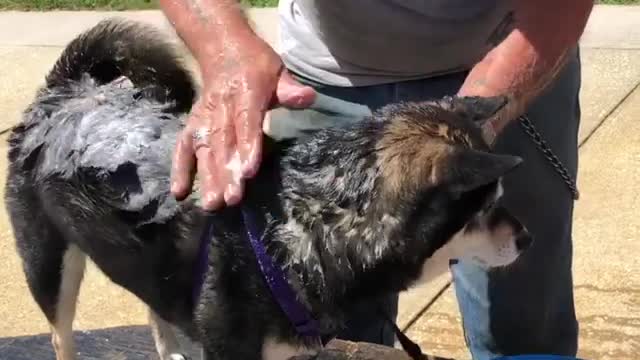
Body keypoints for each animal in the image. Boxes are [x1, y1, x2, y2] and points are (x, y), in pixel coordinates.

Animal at [3, 18, 528, 360]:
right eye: (487, 205)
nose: (527, 238)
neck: (302, 227)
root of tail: (66, 90)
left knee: (156, 310)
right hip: (49, 264)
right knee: (60, 336)